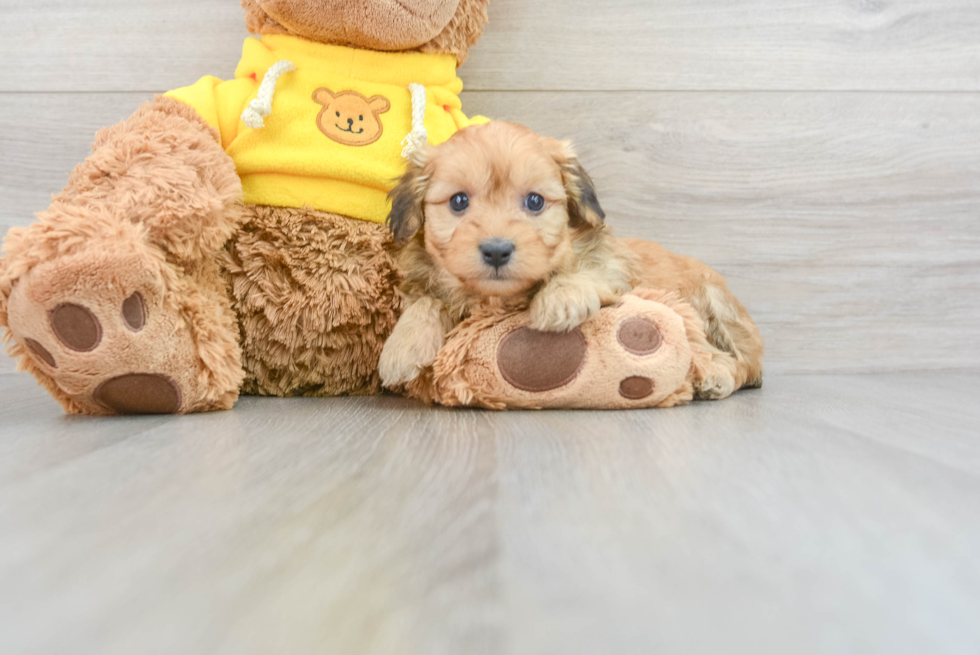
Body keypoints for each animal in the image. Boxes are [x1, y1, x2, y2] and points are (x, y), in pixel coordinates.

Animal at [378, 122, 760, 400]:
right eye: (458, 201)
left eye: (534, 202)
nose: (497, 250)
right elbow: (428, 300)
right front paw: (402, 348)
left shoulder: (611, 267)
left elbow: (584, 270)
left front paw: (560, 298)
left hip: (715, 308)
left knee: (740, 361)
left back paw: (716, 374)